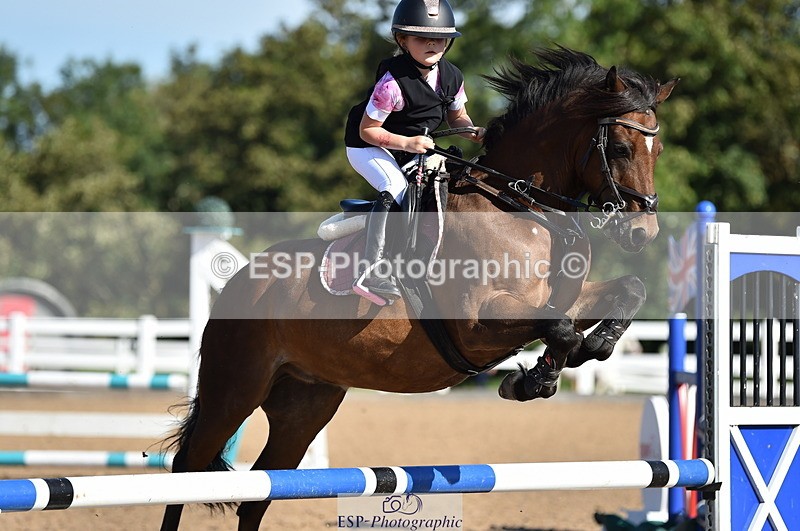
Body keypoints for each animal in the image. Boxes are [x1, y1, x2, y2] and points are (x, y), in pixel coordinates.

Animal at [160, 47, 678, 530]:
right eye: (621, 147)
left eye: (659, 152)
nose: (642, 233)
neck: (521, 207)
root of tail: (241, 282)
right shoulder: (477, 322)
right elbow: (560, 328)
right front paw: (533, 380)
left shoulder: (565, 297)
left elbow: (620, 295)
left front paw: (587, 351)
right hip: (235, 389)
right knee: (186, 468)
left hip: (304, 402)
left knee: (262, 489)